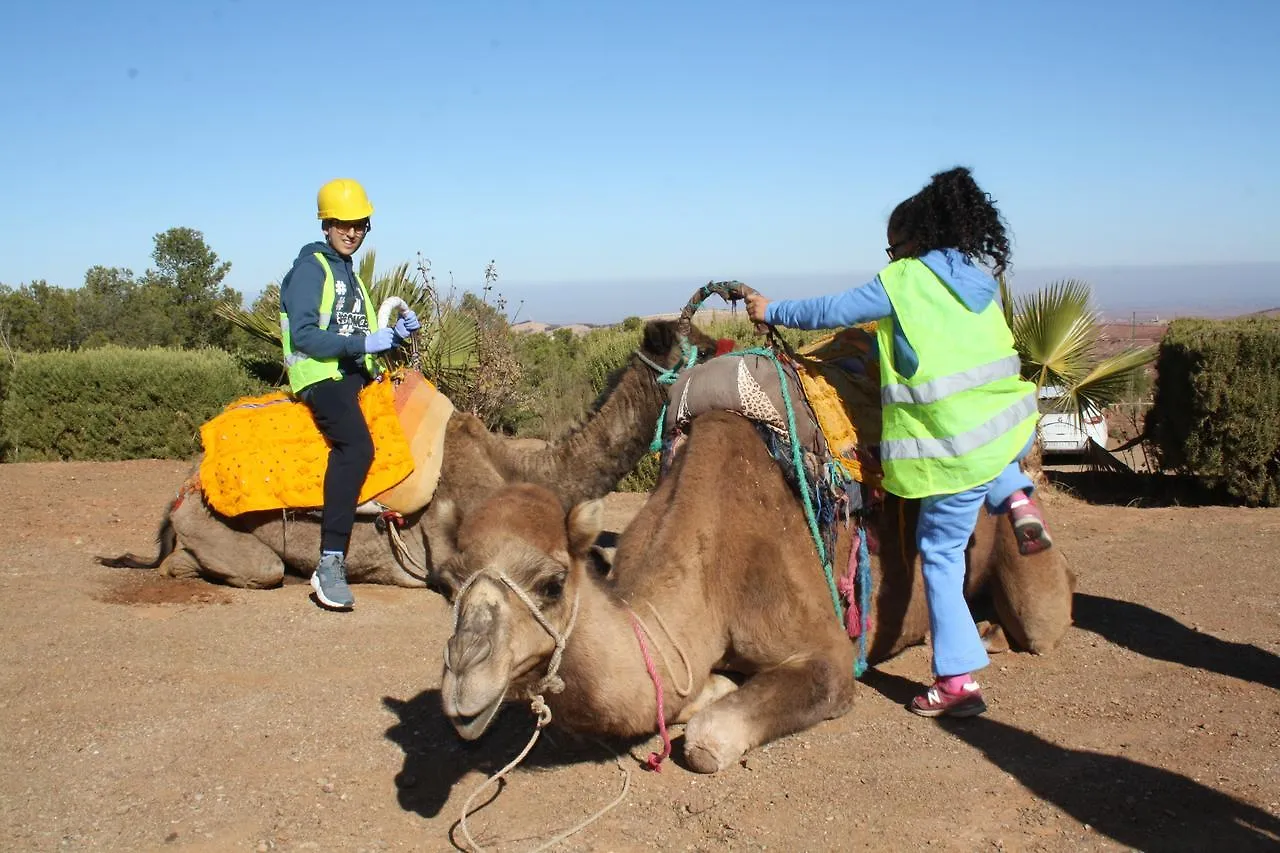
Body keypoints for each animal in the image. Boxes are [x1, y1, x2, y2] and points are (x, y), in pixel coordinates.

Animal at [99, 320, 721, 591]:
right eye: (699, 346)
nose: (732, 347)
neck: (532, 473)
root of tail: (183, 490)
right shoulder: (457, 556)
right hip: (226, 536)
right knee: (250, 569)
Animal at [435, 409, 1075, 768]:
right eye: (449, 580)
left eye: (551, 583)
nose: (464, 677)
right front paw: (716, 685)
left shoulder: (824, 647)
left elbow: (708, 741)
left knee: (1042, 617)